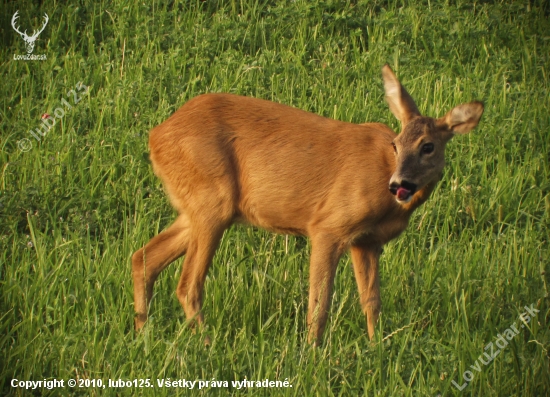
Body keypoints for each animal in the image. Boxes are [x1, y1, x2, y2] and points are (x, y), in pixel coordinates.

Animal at [133, 64, 484, 344]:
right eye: (396, 145)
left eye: (428, 147)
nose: (399, 184)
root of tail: (155, 136)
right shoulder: (329, 225)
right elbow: (320, 303)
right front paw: (311, 353)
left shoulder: (367, 242)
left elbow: (372, 301)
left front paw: (378, 349)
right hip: (212, 202)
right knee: (187, 284)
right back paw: (207, 344)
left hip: (200, 207)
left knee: (143, 257)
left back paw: (143, 333)